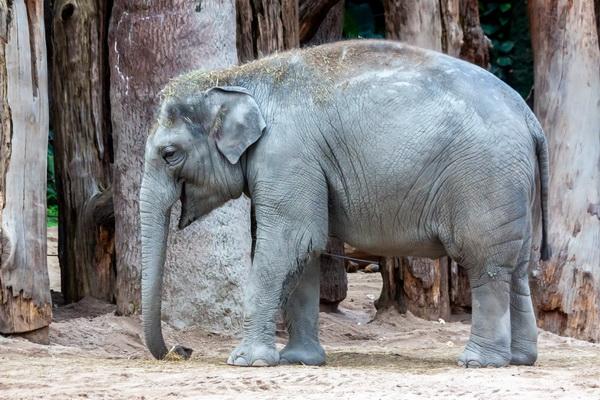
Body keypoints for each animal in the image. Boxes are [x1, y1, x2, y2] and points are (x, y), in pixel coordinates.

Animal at [139, 39, 548, 368]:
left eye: (169, 154)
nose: (181, 350)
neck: (240, 75)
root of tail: (529, 116)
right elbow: (305, 251)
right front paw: (299, 361)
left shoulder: (286, 154)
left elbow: (290, 241)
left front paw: (246, 362)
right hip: (514, 187)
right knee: (518, 268)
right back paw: (520, 359)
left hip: (486, 179)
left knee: (486, 264)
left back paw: (478, 362)